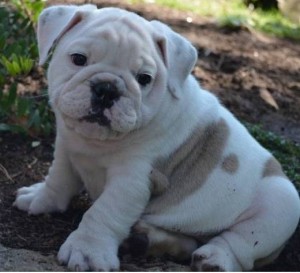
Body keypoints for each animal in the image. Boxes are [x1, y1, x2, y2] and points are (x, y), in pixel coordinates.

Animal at [13, 4, 300, 270]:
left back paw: (215, 257)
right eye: (78, 59)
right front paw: (40, 199)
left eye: (144, 78)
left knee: (241, 242)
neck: (95, 142)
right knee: (188, 242)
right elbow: (58, 179)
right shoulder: (66, 149)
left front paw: (86, 250)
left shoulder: (132, 180)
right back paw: (147, 240)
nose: (107, 89)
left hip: (282, 203)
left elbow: (104, 211)